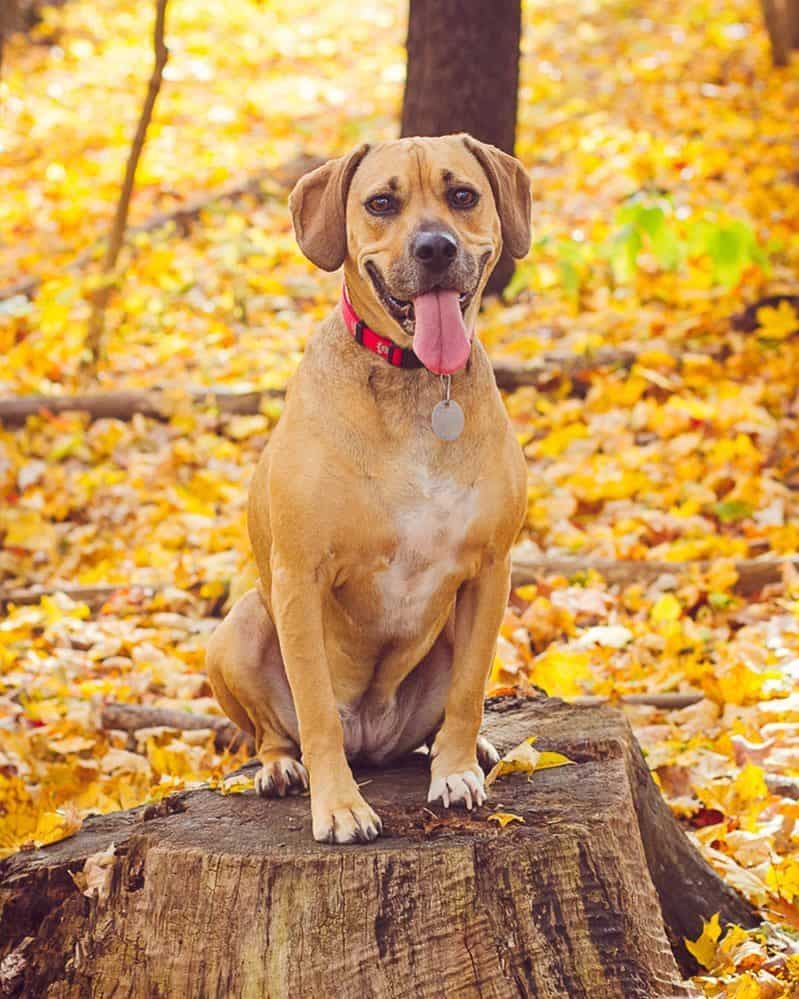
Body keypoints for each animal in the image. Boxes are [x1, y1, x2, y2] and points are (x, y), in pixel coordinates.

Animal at [206, 133, 532, 844]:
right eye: (381, 203)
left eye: (462, 195)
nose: (435, 248)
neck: (417, 380)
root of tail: (374, 742)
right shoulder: (299, 577)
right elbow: (316, 710)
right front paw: (340, 807)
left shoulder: (490, 571)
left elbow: (469, 691)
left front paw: (457, 770)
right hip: (241, 626)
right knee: (275, 731)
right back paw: (280, 769)